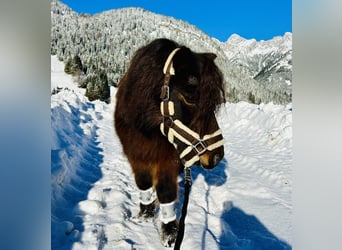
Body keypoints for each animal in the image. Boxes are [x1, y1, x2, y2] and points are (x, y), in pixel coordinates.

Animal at [115, 38, 226, 246]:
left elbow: (166, 191)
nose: (217, 157)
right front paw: (145, 213)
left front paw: (169, 233)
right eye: (190, 98)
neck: (148, 126)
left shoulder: (167, 160)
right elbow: (143, 183)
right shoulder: (135, 153)